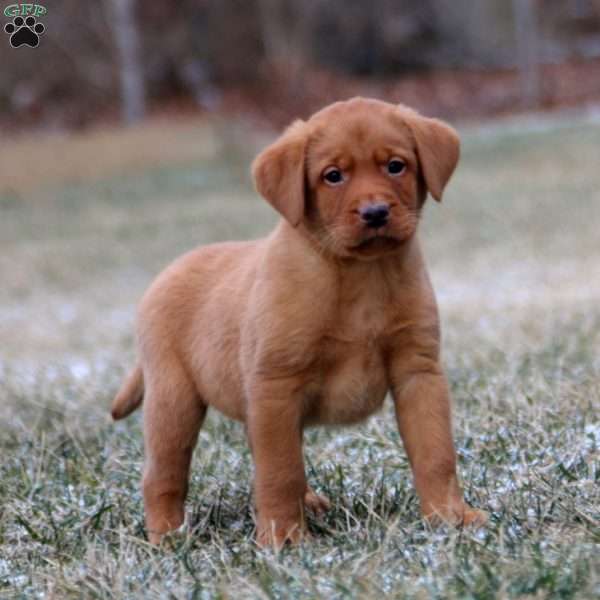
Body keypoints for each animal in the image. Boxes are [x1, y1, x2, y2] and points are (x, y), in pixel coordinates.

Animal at [111, 96, 488, 548]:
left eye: (396, 166)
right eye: (333, 176)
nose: (376, 212)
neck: (361, 276)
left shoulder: (418, 372)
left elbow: (435, 453)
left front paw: (449, 517)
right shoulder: (276, 384)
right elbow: (280, 471)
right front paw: (283, 538)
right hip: (174, 400)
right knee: (163, 475)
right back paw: (167, 537)